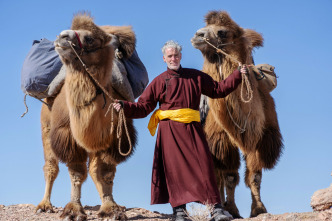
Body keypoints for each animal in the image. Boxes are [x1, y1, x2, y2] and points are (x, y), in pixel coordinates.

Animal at [37, 13, 137, 219]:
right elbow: (76, 173)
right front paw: (74, 210)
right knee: (50, 167)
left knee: (93, 170)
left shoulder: (112, 138)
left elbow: (104, 172)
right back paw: (44, 205)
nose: (62, 36)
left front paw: (111, 208)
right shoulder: (68, 135)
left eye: (90, 38)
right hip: (46, 127)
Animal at [191, 10, 284, 218]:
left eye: (222, 32)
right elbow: (230, 177)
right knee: (217, 175)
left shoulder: (260, 139)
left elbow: (255, 176)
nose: (197, 35)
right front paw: (232, 210)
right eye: (205, 28)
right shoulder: (221, 138)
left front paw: (258, 209)